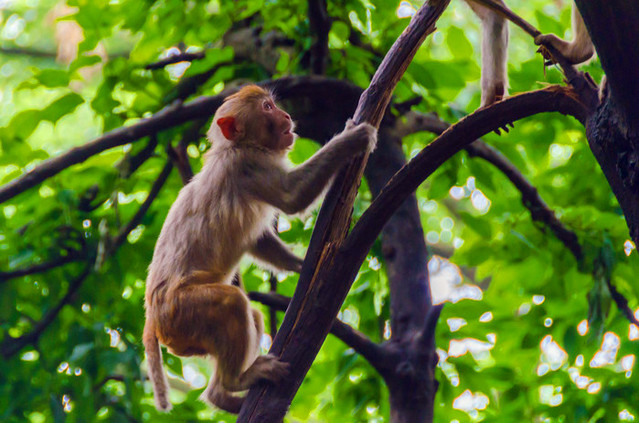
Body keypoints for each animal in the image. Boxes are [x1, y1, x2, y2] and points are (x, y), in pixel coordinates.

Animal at [142, 83, 378, 414]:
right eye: (267, 108)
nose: (287, 115)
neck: (236, 146)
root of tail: (152, 318)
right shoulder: (247, 166)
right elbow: (293, 196)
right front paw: (352, 138)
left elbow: (258, 240)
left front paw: (303, 265)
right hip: (182, 311)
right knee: (232, 304)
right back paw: (235, 382)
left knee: (250, 315)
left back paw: (221, 395)